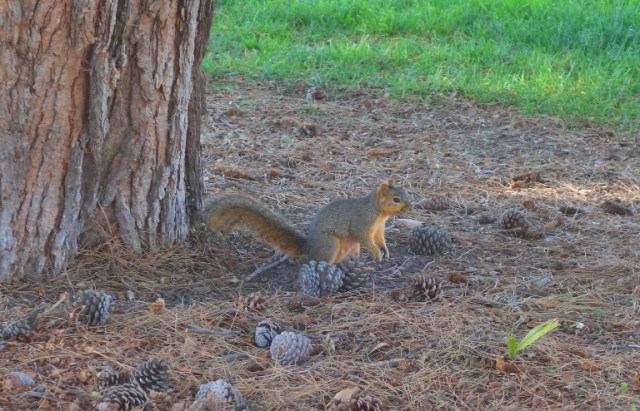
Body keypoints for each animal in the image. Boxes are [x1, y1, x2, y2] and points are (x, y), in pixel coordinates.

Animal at [205, 181, 412, 264]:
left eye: (405, 192)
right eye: (396, 199)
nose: (411, 207)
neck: (379, 213)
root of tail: (309, 247)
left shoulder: (378, 229)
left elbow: (380, 239)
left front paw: (385, 251)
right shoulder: (362, 222)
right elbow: (364, 237)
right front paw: (377, 253)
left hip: (350, 247)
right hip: (330, 244)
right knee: (321, 261)